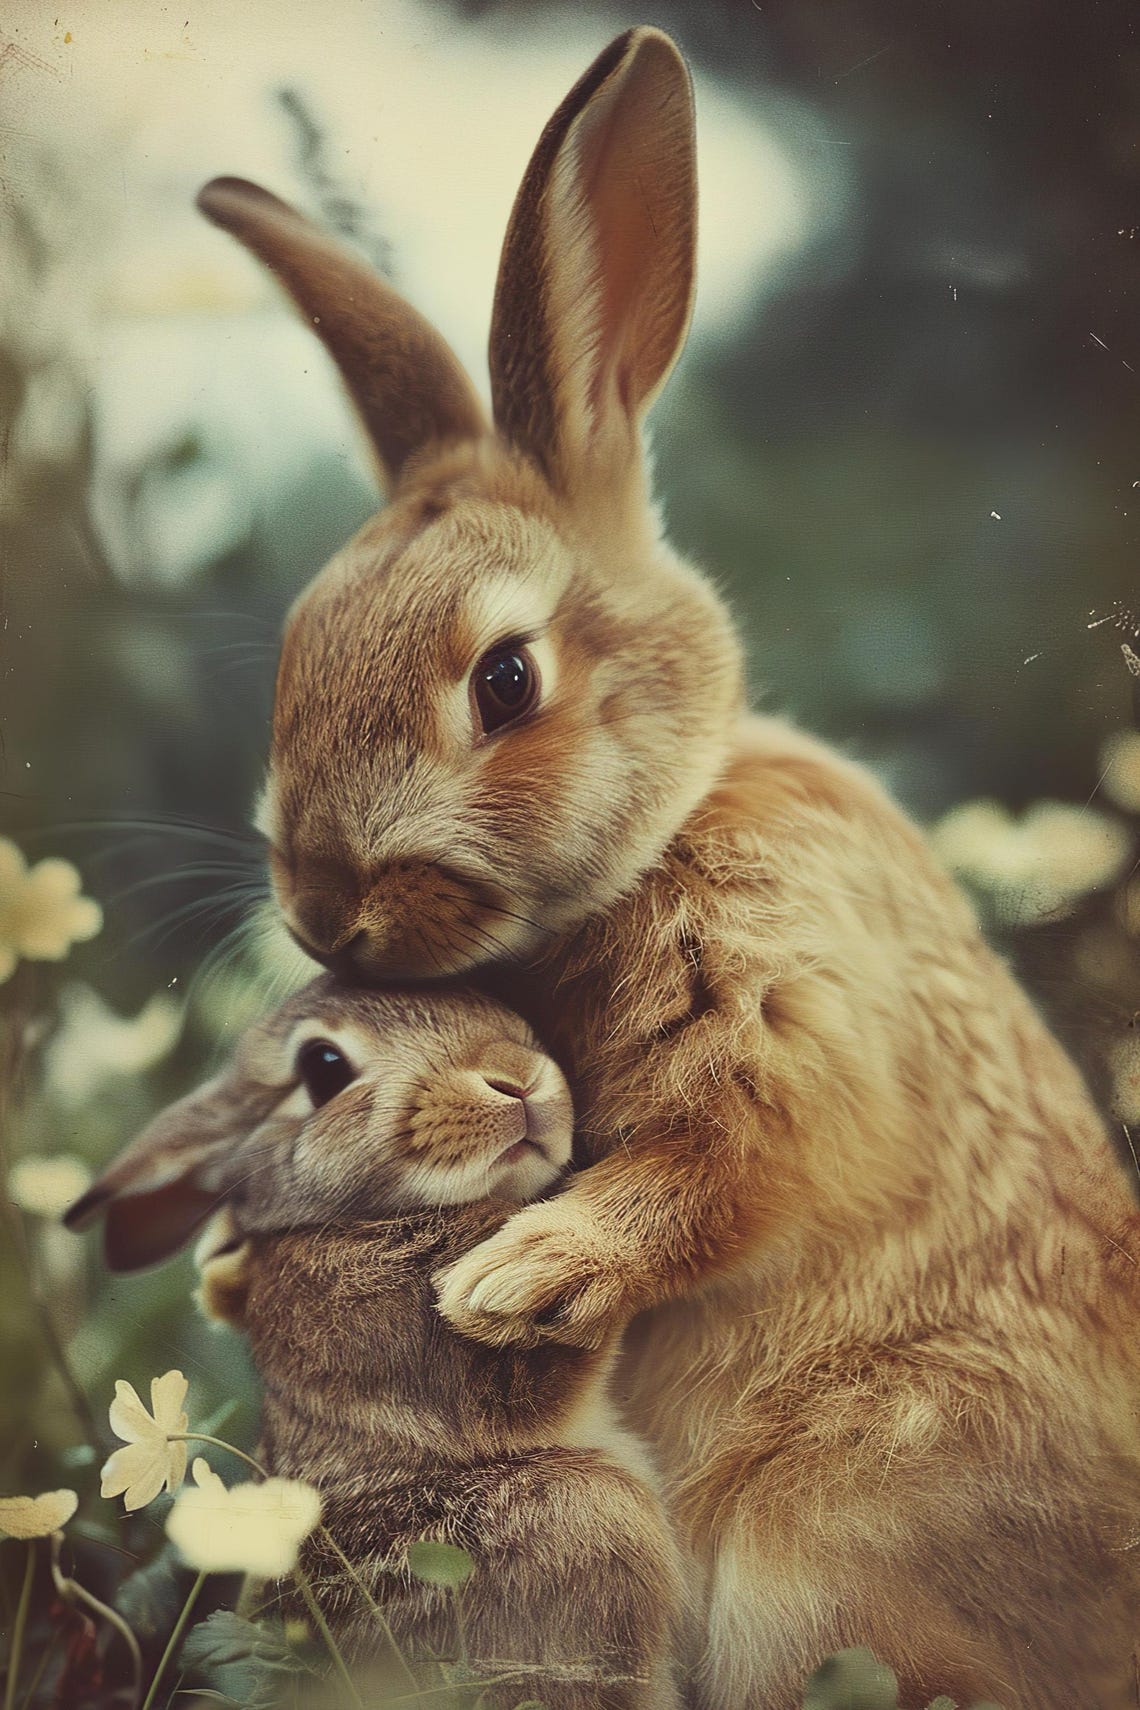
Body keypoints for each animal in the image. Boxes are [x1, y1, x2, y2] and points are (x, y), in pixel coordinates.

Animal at [188, 25, 1140, 1709]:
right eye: (298, 657)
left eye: (505, 681)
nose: (324, 911)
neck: (667, 824)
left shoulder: (779, 1016)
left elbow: (720, 1172)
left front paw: (510, 1277)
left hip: (809, 1543)